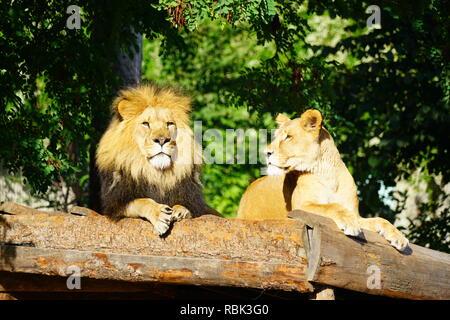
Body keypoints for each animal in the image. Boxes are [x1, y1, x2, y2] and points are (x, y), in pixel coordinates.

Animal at [96, 84, 220, 235]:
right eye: (146, 124)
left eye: (169, 124)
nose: (162, 140)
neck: (157, 173)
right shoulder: (114, 205)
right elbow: (141, 201)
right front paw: (160, 215)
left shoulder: (196, 204)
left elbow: (188, 208)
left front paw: (180, 211)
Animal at [237, 109, 410, 251]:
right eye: (276, 137)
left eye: (288, 137)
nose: (266, 152)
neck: (327, 174)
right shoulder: (301, 207)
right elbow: (331, 206)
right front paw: (349, 223)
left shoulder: (357, 214)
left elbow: (381, 220)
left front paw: (400, 237)